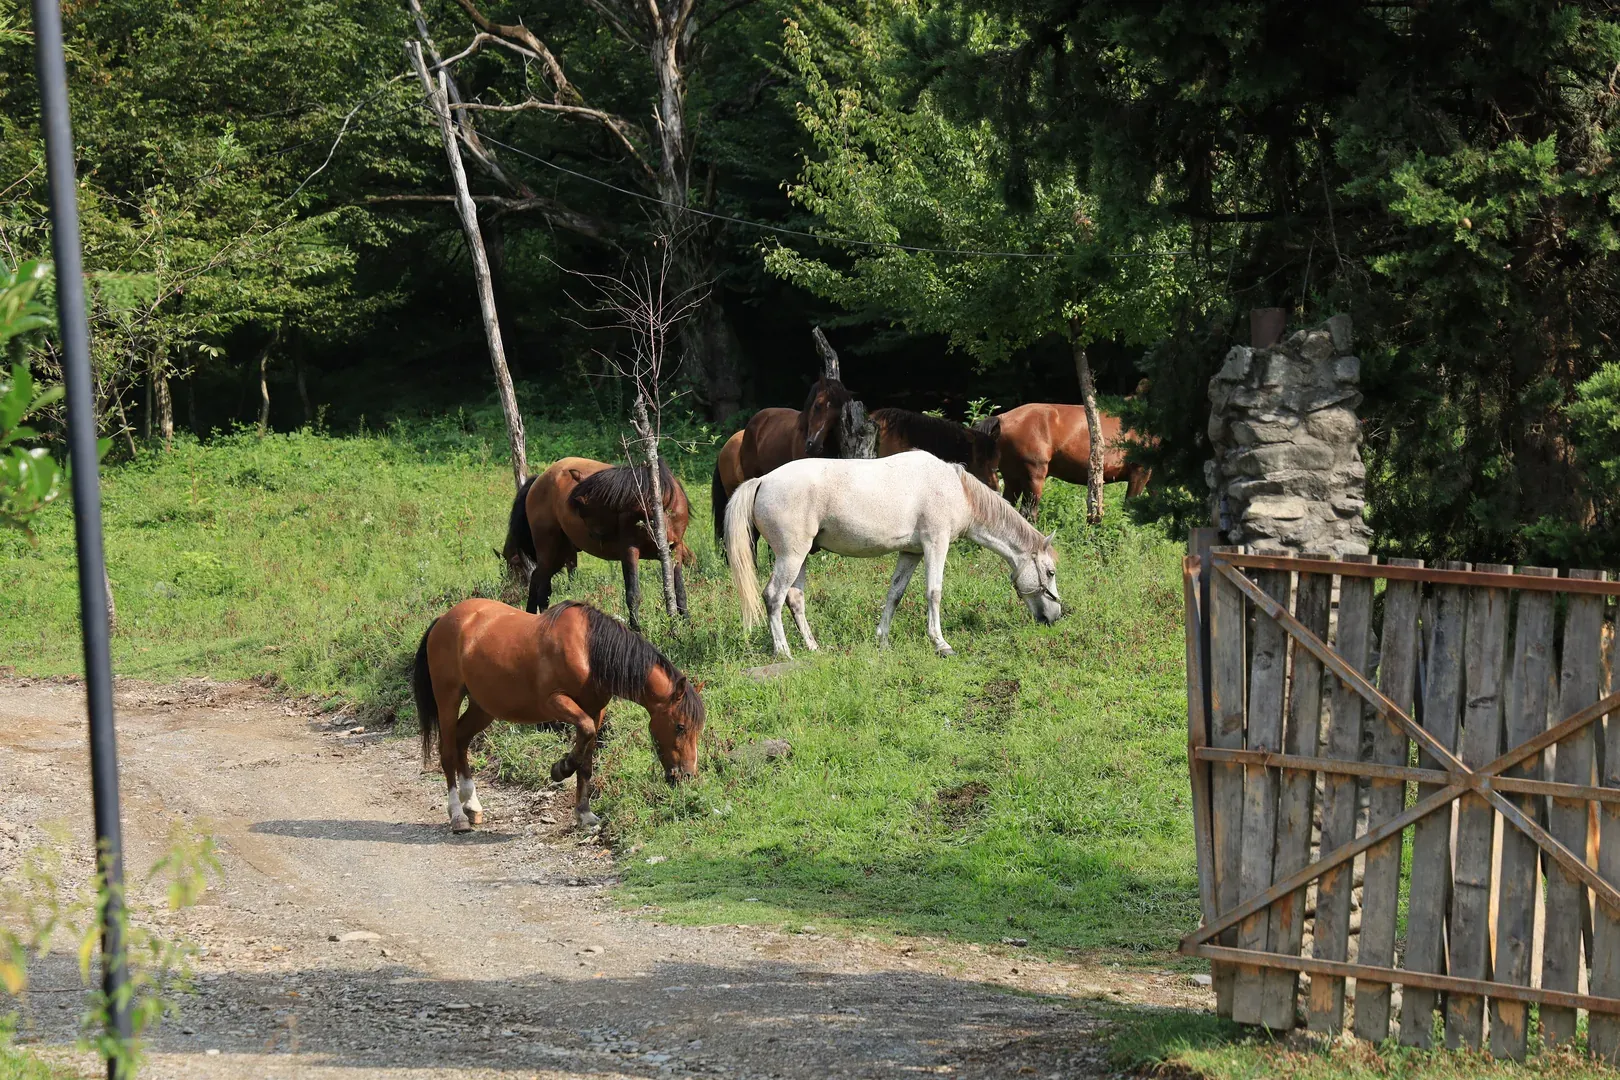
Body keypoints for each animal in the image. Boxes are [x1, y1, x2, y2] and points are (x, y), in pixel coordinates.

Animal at [413, 599, 705, 832]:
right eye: (680, 727)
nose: (687, 775)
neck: (588, 649)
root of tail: (444, 620)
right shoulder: (556, 703)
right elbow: (583, 735)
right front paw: (560, 768)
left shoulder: (595, 711)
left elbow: (587, 761)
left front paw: (585, 814)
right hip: (448, 699)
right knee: (448, 751)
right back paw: (458, 815)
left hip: (483, 707)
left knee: (461, 740)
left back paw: (472, 805)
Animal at [503, 457, 694, 632]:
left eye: (582, 511)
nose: (594, 535)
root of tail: (538, 480)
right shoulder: (630, 551)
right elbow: (633, 593)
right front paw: (636, 629)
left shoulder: (674, 550)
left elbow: (679, 591)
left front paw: (686, 624)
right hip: (549, 550)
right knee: (539, 584)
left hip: (560, 554)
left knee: (540, 582)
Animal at [724, 450, 1062, 658]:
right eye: (1050, 572)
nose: (1056, 616)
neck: (956, 490)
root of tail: (762, 481)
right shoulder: (935, 544)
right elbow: (934, 592)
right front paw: (941, 643)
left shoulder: (911, 553)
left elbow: (895, 594)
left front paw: (882, 640)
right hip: (791, 557)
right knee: (773, 597)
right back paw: (784, 652)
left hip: (801, 557)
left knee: (795, 599)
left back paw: (813, 647)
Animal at [977, 403, 1154, 522]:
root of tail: (1002, 418)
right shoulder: (1140, 473)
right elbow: (1129, 509)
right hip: (1033, 479)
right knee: (1028, 513)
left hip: (1012, 478)